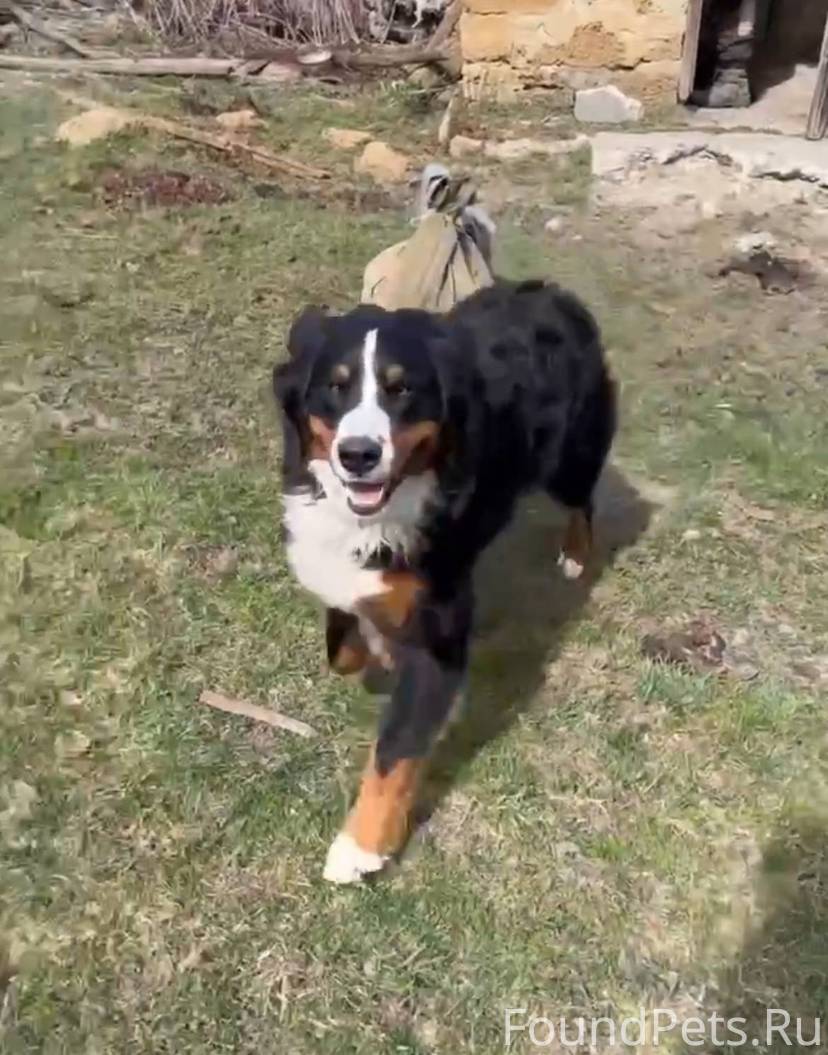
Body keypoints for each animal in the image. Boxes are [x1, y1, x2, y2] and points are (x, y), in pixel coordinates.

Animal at [273, 279, 617, 883]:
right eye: (335, 388)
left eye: (401, 390)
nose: (358, 454)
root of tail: (553, 293)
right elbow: (343, 647)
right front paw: (374, 647)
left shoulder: (442, 637)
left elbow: (395, 753)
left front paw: (361, 846)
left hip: (569, 458)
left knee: (583, 499)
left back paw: (575, 554)